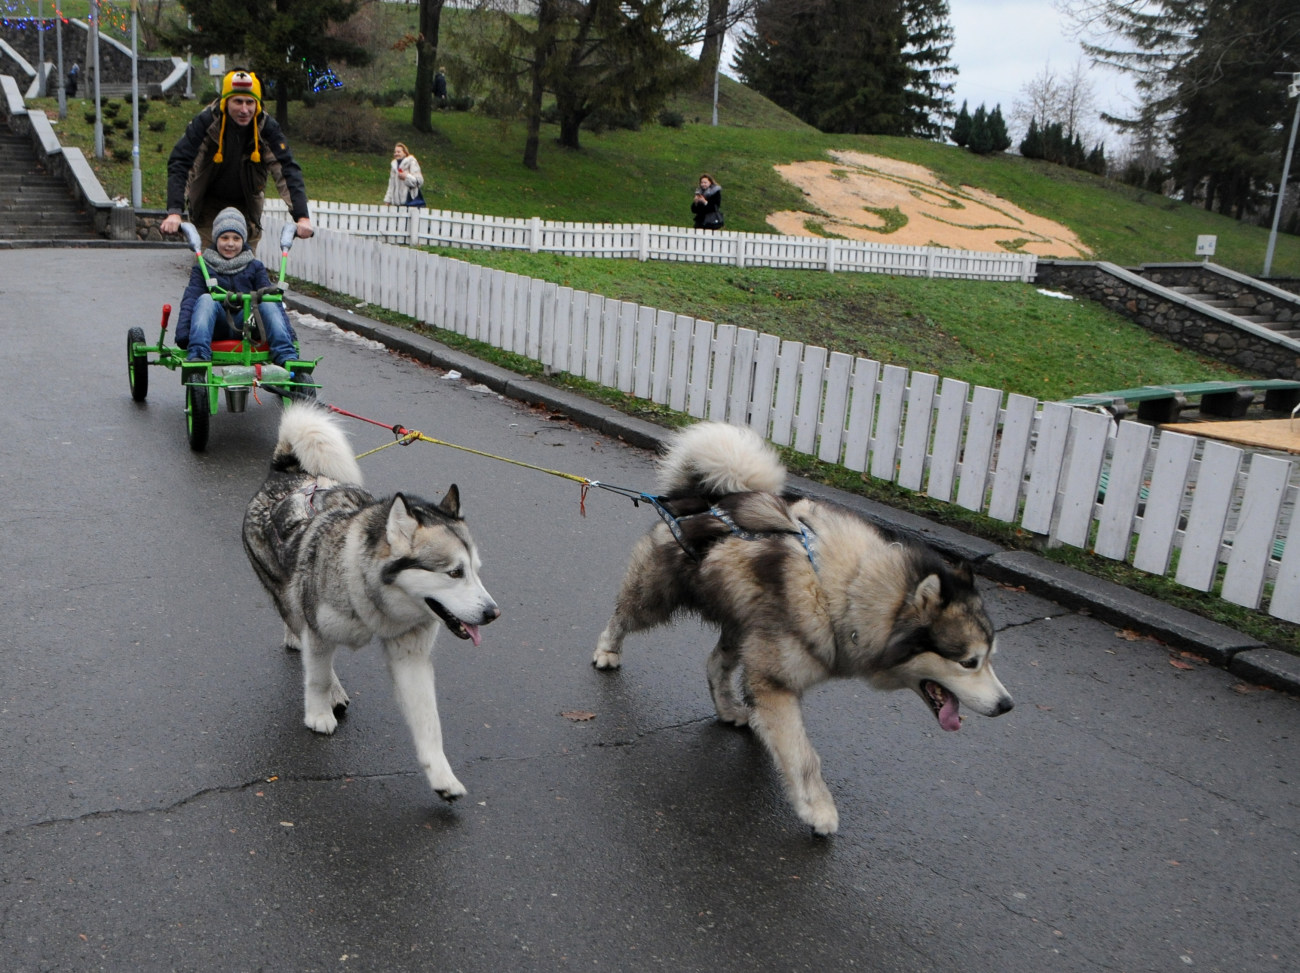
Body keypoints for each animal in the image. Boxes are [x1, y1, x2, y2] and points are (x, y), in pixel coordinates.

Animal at [241, 400, 499, 796]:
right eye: (454, 573)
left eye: (475, 570)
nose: (493, 612)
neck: (376, 600)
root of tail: (286, 471)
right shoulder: (319, 630)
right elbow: (316, 675)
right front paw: (318, 712)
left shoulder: (411, 655)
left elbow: (429, 721)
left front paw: (441, 775)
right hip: (285, 592)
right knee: (295, 621)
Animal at [592, 421, 1013, 832]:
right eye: (969, 662)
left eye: (991, 657)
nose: (1007, 705)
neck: (847, 590)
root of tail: (698, 497)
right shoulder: (775, 684)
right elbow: (802, 756)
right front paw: (818, 809)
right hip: (655, 597)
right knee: (623, 616)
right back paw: (607, 650)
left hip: (743, 626)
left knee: (715, 664)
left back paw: (727, 706)